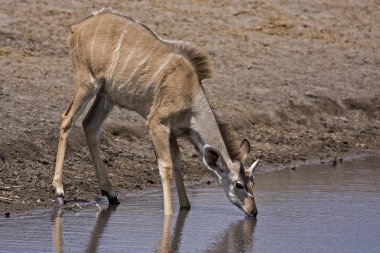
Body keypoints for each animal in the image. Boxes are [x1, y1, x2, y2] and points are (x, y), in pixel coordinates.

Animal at [52, 8, 258, 217]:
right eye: (238, 184)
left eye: (253, 182)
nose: (253, 211)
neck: (190, 96)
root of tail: (78, 27)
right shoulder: (157, 122)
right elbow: (165, 166)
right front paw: (169, 213)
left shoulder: (173, 131)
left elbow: (177, 163)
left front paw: (185, 206)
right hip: (87, 83)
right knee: (67, 119)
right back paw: (59, 190)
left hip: (106, 95)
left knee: (90, 125)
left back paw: (111, 193)